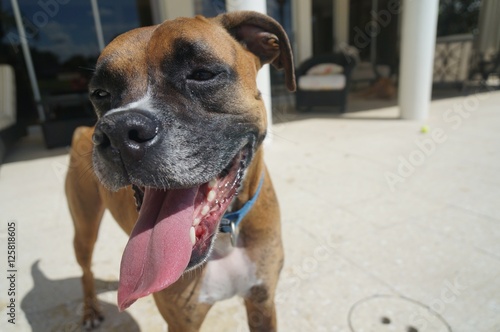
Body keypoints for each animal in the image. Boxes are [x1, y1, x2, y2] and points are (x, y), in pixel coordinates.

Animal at [64, 11, 294, 332]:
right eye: (100, 93)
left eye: (202, 74)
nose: (118, 131)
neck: (224, 234)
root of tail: (83, 131)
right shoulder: (181, 322)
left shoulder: (262, 303)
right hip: (84, 228)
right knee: (85, 269)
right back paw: (89, 309)